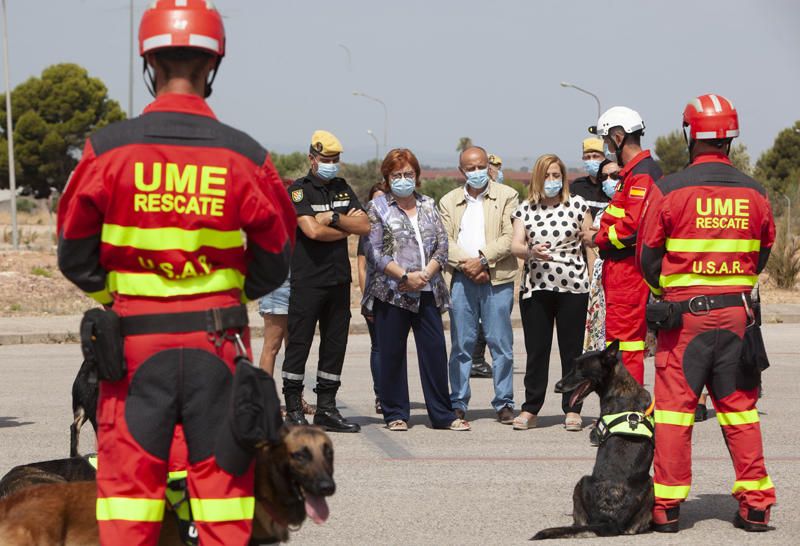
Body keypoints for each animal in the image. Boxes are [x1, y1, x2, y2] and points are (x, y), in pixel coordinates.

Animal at [528, 338, 652, 536]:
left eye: (581, 369)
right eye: (574, 366)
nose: (557, 386)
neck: (621, 388)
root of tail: (609, 519)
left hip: (583, 480)